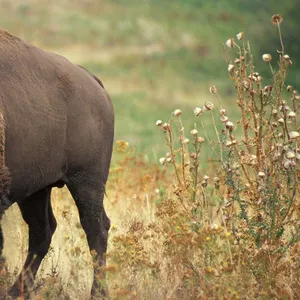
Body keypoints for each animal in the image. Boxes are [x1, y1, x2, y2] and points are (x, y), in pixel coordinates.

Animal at [0, 28, 114, 298]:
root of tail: (92, 81)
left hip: (87, 181)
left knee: (96, 229)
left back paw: (98, 293)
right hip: (36, 187)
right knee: (42, 230)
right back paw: (15, 291)